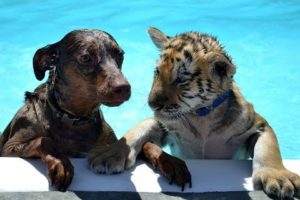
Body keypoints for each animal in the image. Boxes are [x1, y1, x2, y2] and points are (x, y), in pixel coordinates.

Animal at [0, 29, 131, 191]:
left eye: (121, 55)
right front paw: (61, 162)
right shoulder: (9, 149)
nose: (124, 87)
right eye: (86, 57)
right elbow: (44, 139)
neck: (75, 119)